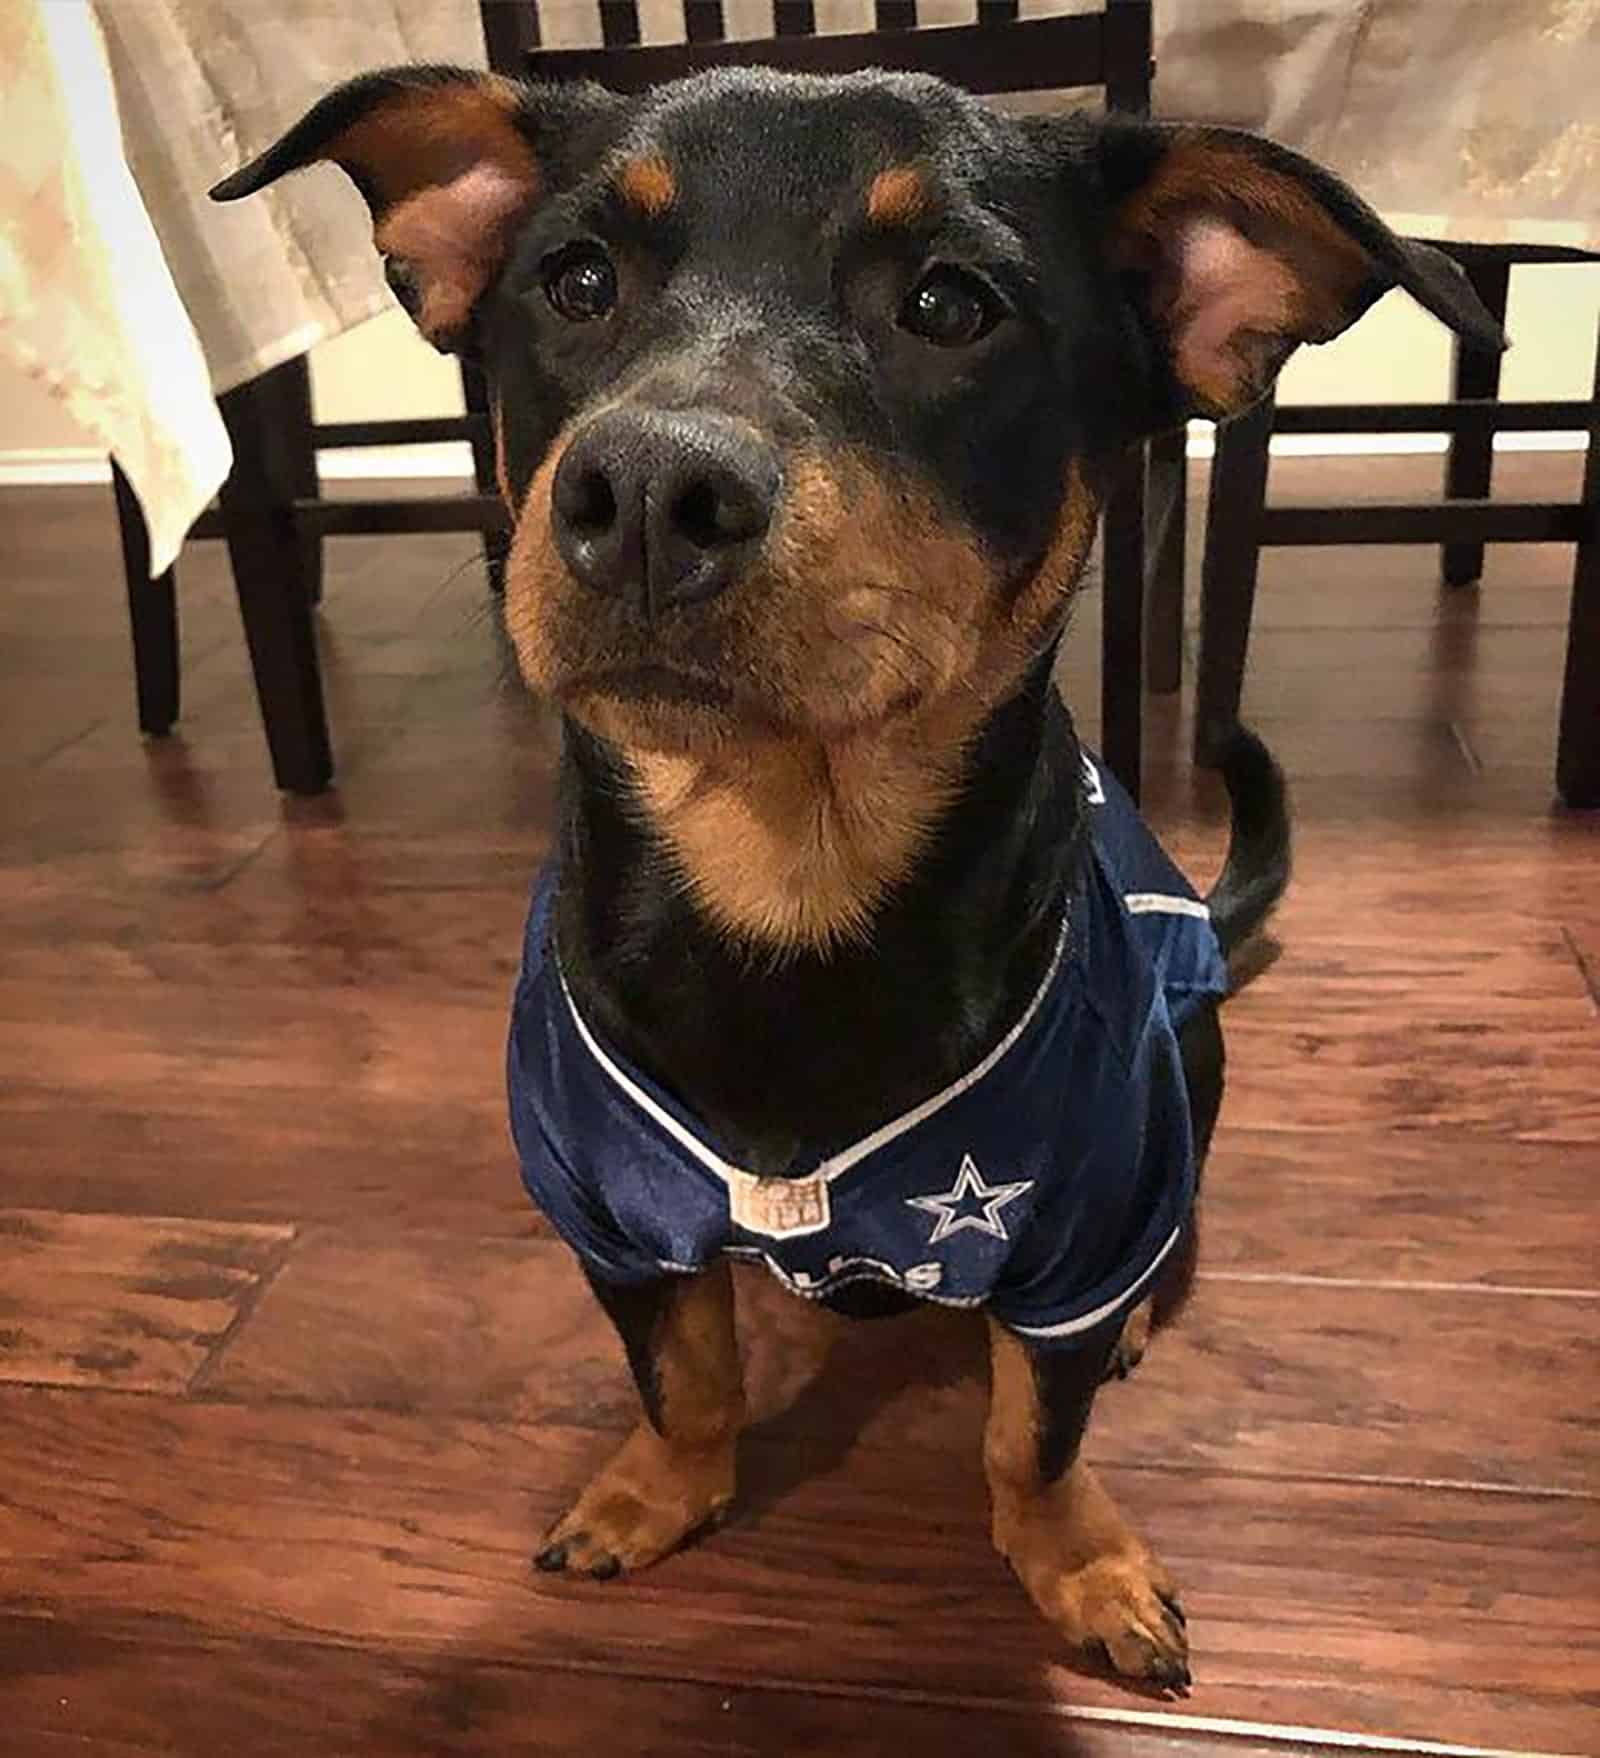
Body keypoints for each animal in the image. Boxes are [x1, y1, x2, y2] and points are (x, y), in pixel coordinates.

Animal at [212, 65, 1505, 1687]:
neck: (788, 874)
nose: (648, 487)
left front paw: (1077, 1560)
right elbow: (678, 1374)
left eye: (951, 304)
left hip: (1187, 1052)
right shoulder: (602, 1212)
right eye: (574, 282)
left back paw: (1146, 1316)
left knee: (1174, 1212)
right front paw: (655, 1491)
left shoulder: (1079, 1218)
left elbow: (1033, 1434)